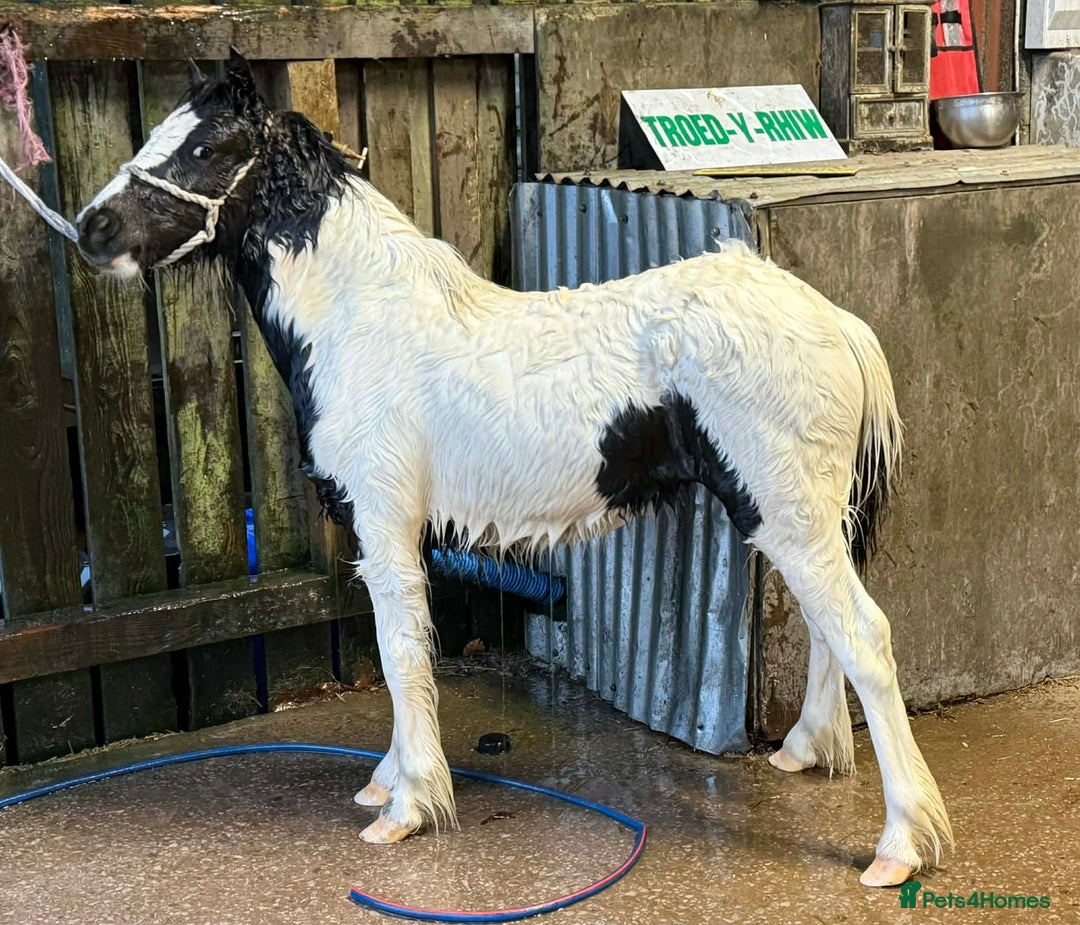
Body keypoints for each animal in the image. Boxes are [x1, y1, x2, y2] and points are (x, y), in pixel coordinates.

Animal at [75, 49, 951, 887]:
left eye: (206, 147)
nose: (93, 227)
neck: (365, 322)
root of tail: (834, 319)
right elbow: (407, 651)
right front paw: (388, 778)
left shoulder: (386, 525)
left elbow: (401, 653)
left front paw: (408, 806)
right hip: (796, 517)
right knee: (828, 630)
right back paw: (805, 750)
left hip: (788, 515)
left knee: (864, 636)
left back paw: (900, 847)